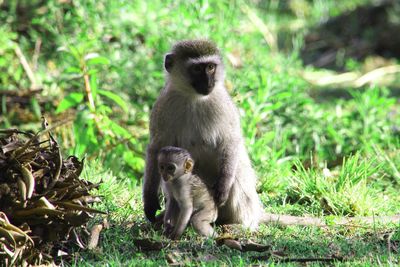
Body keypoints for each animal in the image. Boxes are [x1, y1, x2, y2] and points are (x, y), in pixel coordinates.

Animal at [143, 38, 262, 229]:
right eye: (197, 69)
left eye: (211, 67)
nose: (208, 82)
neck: (193, 98)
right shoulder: (164, 105)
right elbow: (157, 148)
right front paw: (150, 200)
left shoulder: (221, 103)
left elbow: (231, 140)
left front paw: (223, 186)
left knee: (237, 168)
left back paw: (238, 223)